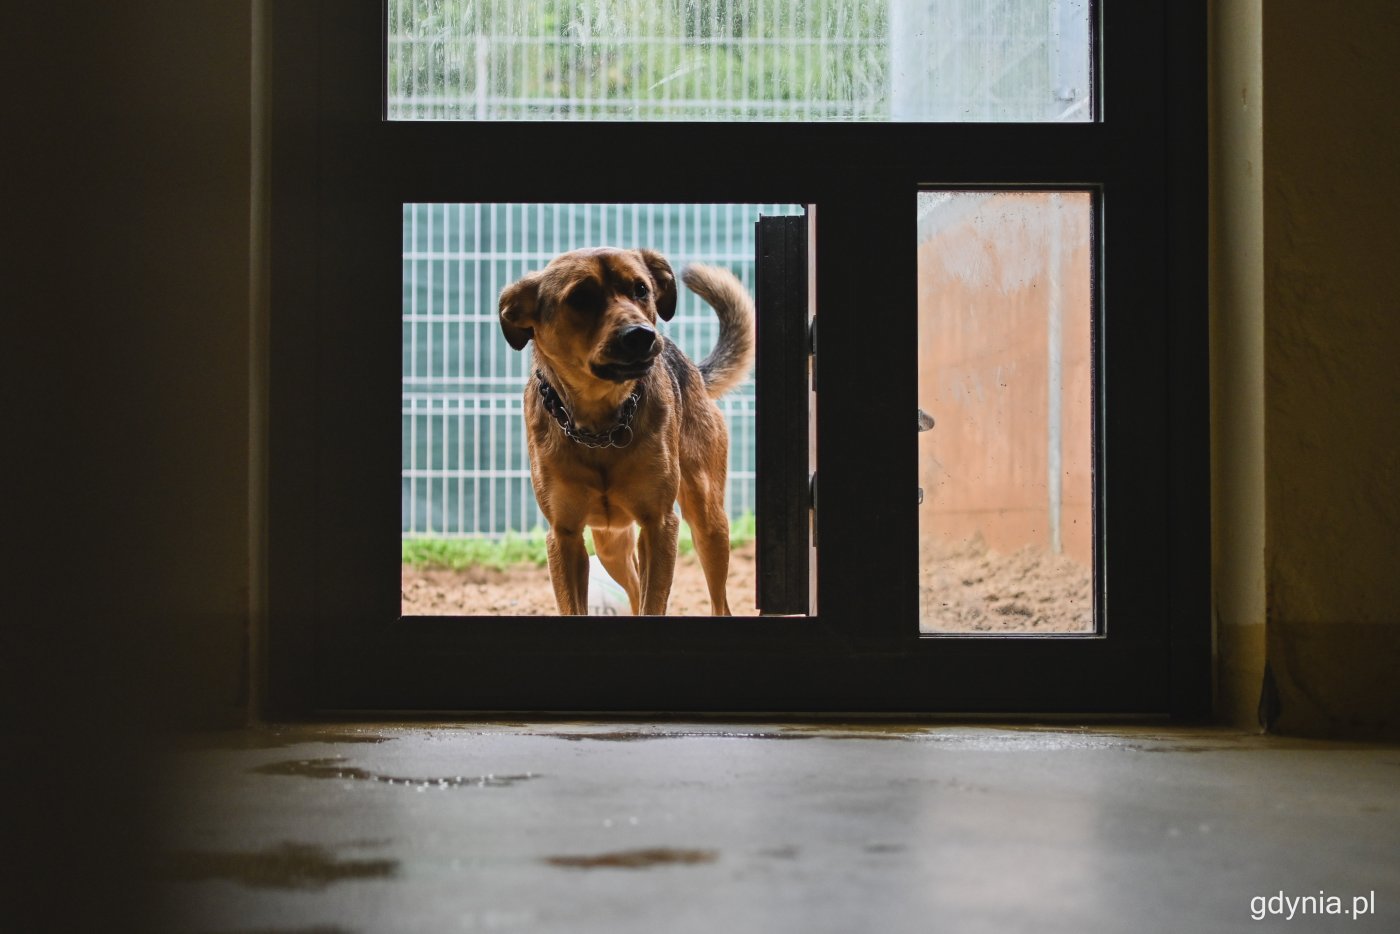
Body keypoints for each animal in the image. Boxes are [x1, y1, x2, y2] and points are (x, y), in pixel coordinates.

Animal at [498, 247, 750, 616]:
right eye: (580, 298)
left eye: (641, 289)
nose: (642, 335)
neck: (600, 425)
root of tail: (693, 370)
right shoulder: (564, 536)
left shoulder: (659, 525)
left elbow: (653, 601)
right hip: (610, 543)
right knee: (631, 587)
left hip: (709, 523)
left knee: (719, 602)